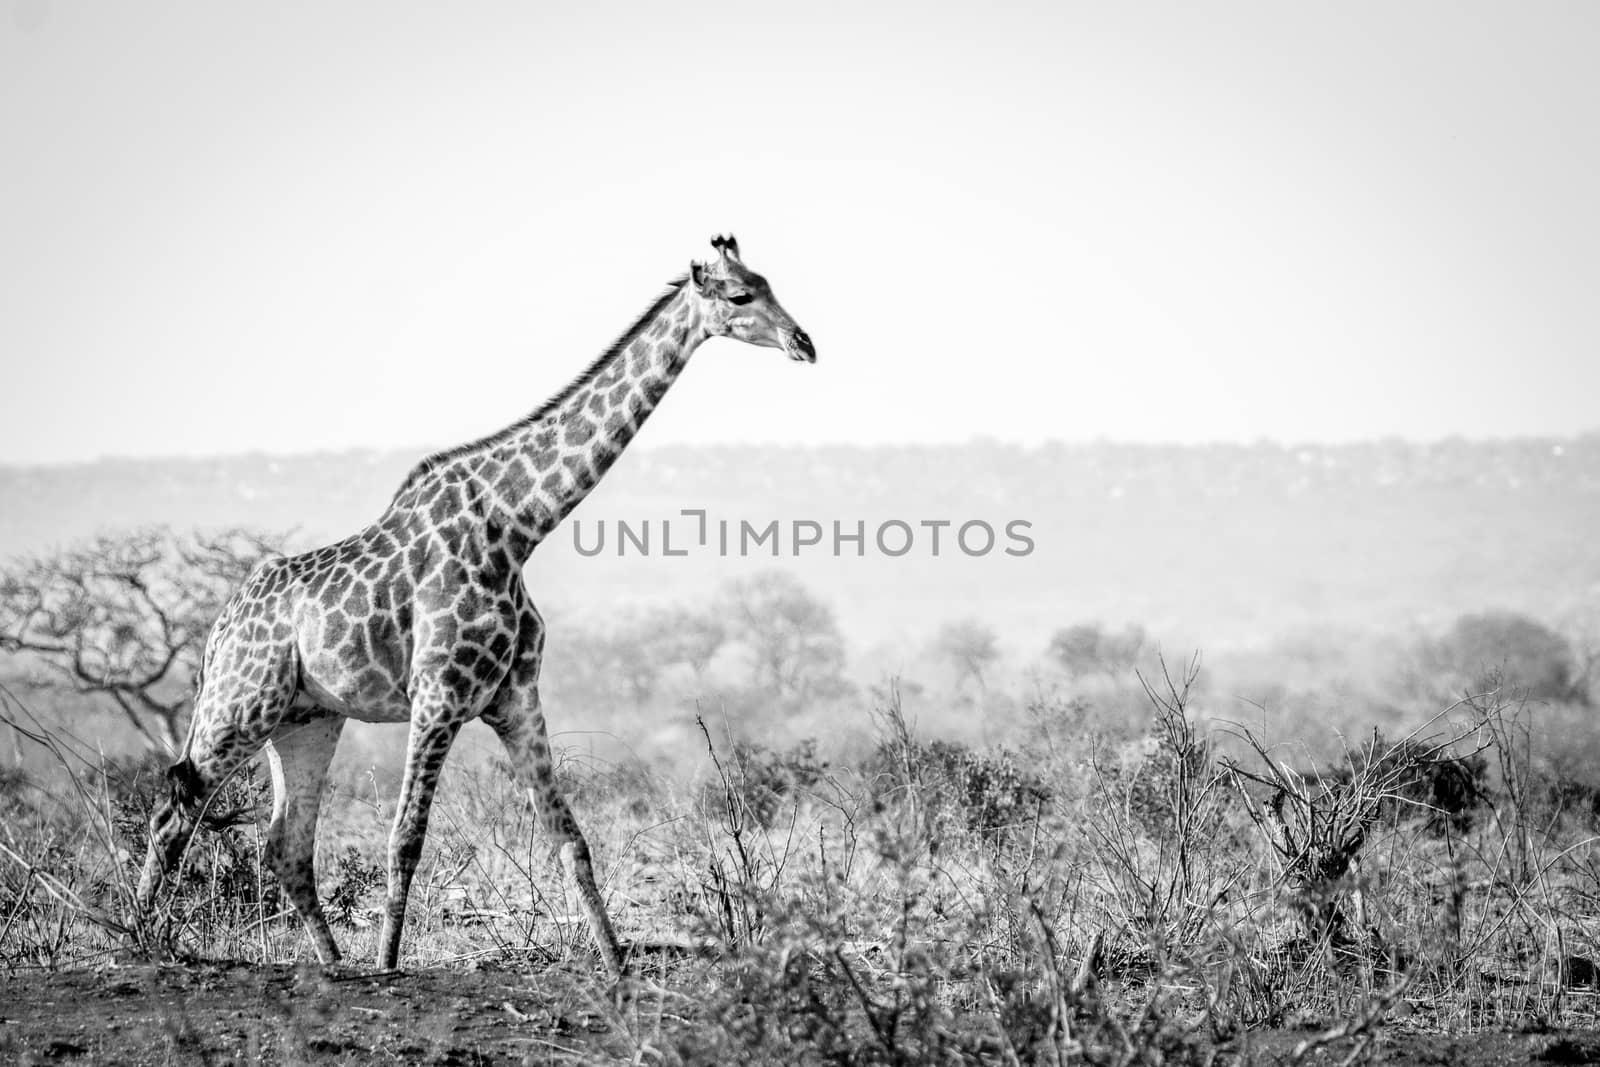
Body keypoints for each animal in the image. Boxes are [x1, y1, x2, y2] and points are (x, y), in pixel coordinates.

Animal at [136, 235, 812, 979]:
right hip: (239, 704)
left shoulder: (515, 697)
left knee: (285, 841)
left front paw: (617, 965)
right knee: (173, 807)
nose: (804, 343)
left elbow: (569, 837)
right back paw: (142, 942)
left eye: (768, 282)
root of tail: (218, 627)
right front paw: (389, 964)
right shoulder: (437, 696)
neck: (517, 527)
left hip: (306, 717)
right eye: (741, 295)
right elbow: (405, 836)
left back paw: (331, 961)